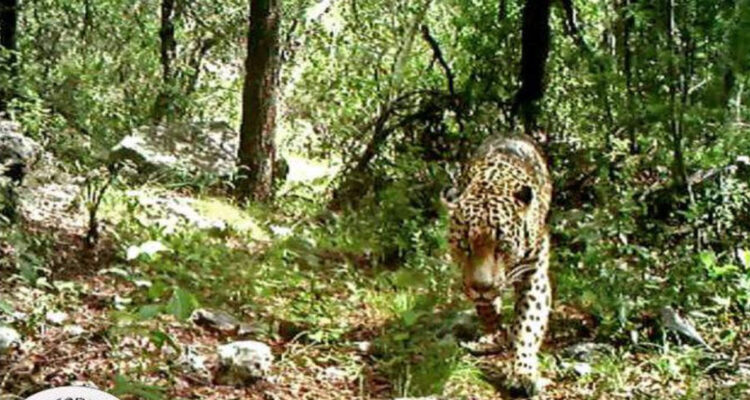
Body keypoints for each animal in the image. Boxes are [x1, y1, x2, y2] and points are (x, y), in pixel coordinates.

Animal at [446, 133, 552, 396]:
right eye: (464, 245)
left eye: (501, 246)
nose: (481, 287)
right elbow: (487, 311)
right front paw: (493, 334)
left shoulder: (534, 273)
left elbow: (528, 323)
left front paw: (523, 372)